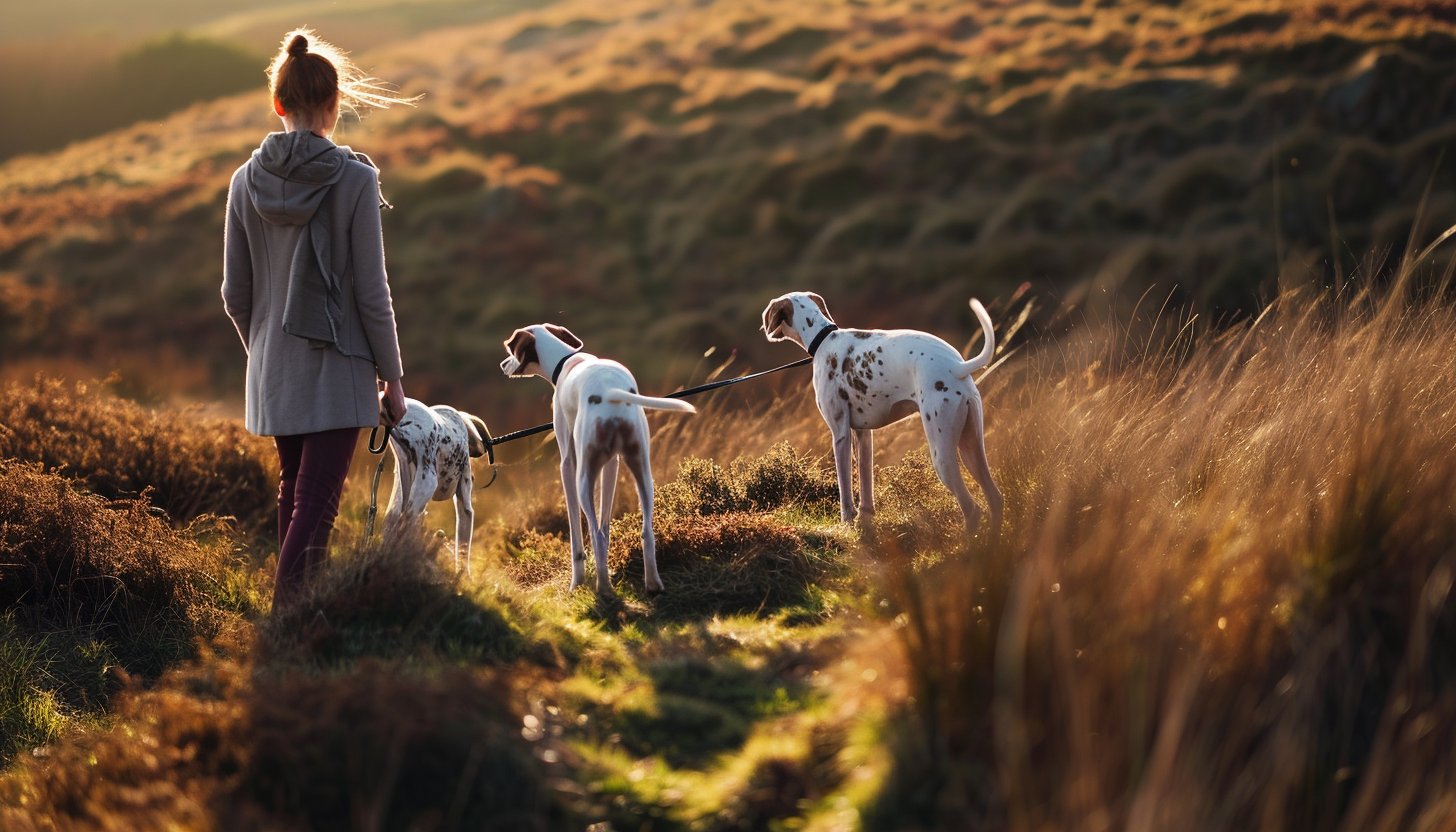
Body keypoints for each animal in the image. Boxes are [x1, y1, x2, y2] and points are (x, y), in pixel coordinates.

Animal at [497, 324, 695, 600]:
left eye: (511, 352)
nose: (503, 364)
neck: (566, 361)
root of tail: (609, 392)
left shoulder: (567, 465)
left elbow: (577, 536)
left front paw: (576, 582)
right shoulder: (612, 464)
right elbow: (605, 521)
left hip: (583, 479)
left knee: (596, 534)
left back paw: (603, 589)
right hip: (643, 474)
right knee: (643, 532)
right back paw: (652, 584)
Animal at [762, 292, 1001, 539]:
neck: (824, 338)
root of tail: (957, 366)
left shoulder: (840, 435)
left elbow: (845, 490)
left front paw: (846, 524)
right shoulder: (863, 434)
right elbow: (866, 487)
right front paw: (865, 521)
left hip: (942, 456)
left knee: (972, 509)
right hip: (971, 449)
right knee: (996, 499)